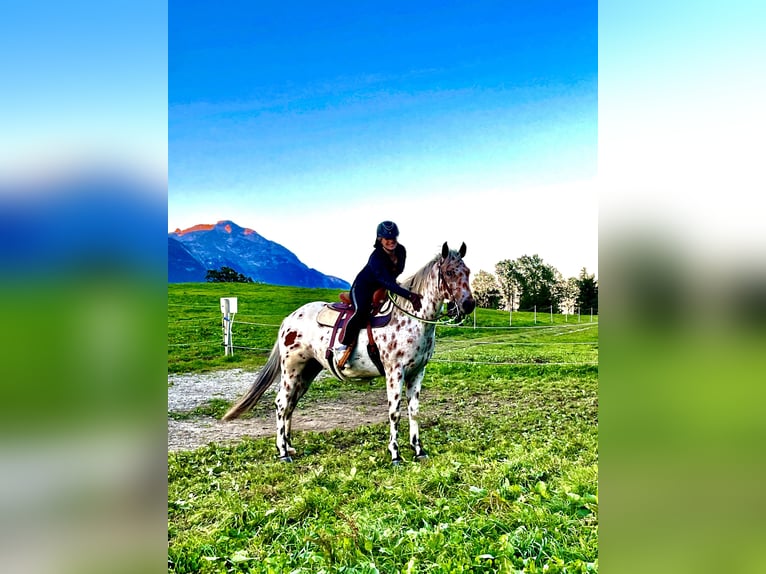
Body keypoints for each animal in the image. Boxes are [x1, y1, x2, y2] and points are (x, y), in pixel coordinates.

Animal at [222, 242, 475, 464]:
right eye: (450, 272)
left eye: (468, 271)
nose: (468, 304)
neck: (411, 319)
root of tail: (289, 320)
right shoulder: (395, 372)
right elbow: (394, 412)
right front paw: (395, 455)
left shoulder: (417, 372)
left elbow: (414, 411)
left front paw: (419, 451)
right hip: (291, 370)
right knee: (282, 403)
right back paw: (283, 452)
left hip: (307, 372)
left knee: (291, 404)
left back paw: (289, 445)